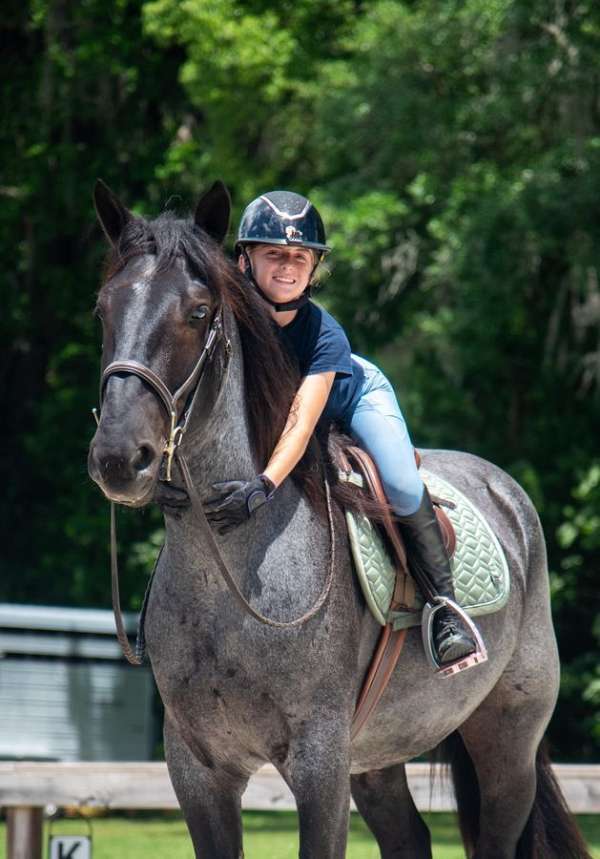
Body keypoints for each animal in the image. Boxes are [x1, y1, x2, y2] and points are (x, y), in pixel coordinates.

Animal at [88, 179, 591, 859]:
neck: (231, 578)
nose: (120, 457)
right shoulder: (198, 771)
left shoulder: (319, 764)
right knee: (409, 837)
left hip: (506, 742)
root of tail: (505, 489)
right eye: (103, 310)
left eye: (197, 312)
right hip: (377, 755)